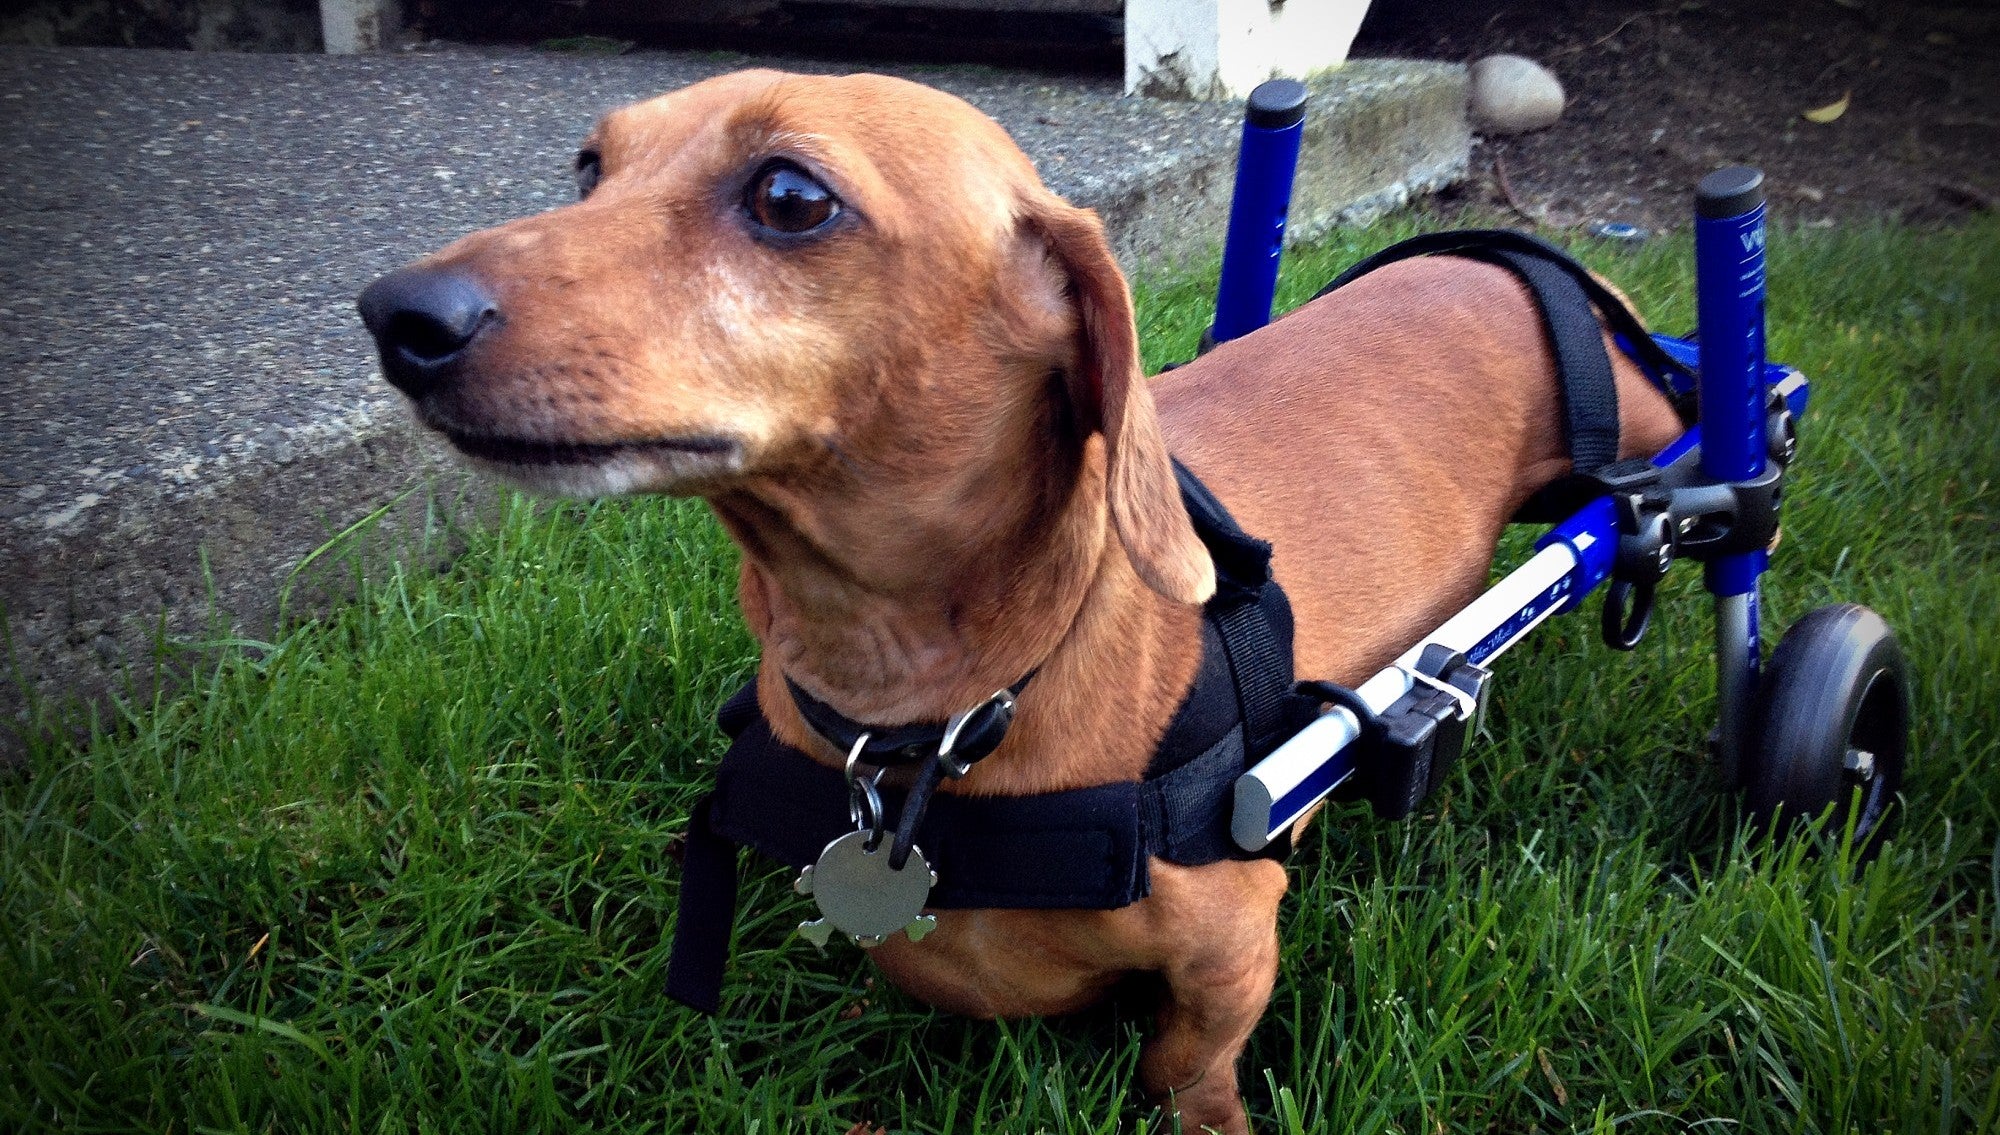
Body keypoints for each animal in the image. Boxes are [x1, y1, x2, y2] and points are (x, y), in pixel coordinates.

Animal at [360, 70, 1688, 1135]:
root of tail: (1481, 253)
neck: (936, 710)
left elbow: (1185, 1062)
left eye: (788, 196)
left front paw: (1201, 1114)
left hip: (1645, 427)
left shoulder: (1233, 938)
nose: (395, 314)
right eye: (590, 166)